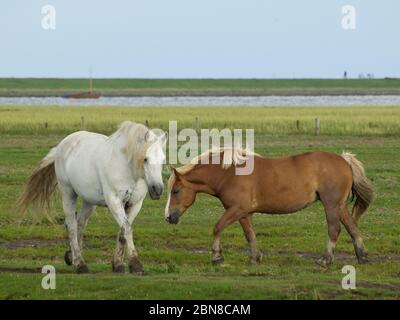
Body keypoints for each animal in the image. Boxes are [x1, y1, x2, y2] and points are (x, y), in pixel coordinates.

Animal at [18, 121, 167, 274]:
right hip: (68, 193)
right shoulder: (114, 201)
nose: (157, 189)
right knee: (71, 225)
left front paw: (118, 264)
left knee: (80, 223)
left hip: (89, 202)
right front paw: (135, 264)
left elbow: (123, 232)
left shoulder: (135, 204)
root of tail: (63, 144)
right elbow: (127, 228)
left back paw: (72, 256)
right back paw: (80, 264)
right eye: (145, 159)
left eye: (163, 160)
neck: (127, 169)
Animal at [164, 149, 374, 266]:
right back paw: (362, 256)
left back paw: (326, 260)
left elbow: (217, 227)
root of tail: (344, 159)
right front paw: (255, 257)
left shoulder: (236, 209)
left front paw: (216, 257)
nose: (168, 217)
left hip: (331, 205)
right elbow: (250, 234)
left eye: (175, 191)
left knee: (334, 229)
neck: (229, 173)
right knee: (353, 228)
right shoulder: (244, 213)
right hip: (340, 206)